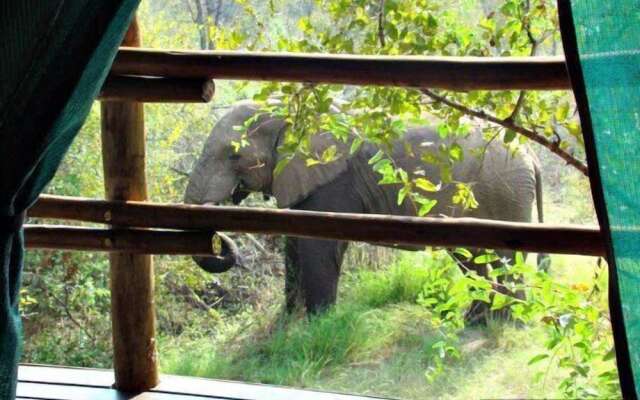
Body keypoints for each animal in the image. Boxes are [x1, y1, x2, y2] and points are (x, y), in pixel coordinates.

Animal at [182, 101, 544, 318]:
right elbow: (294, 245)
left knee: (500, 257)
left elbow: (317, 246)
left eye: (234, 155)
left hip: (502, 192)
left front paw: (317, 325)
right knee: (475, 258)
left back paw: (505, 321)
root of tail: (531, 155)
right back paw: (480, 320)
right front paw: (288, 323)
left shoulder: (329, 179)